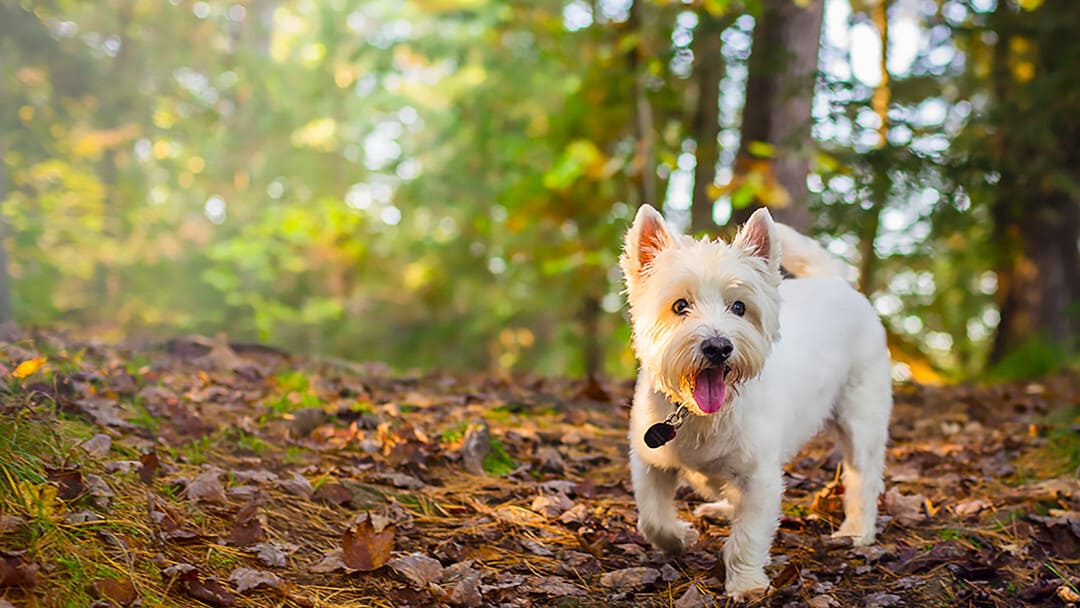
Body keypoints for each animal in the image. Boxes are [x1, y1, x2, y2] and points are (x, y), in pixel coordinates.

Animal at [622, 204, 889, 600]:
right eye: (680, 305)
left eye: (739, 307)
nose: (718, 347)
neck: (702, 415)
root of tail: (838, 284)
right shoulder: (651, 461)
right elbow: (653, 518)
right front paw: (680, 539)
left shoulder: (759, 477)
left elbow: (748, 536)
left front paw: (746, 584)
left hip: (862, 419)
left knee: (864, 477)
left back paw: (857, 530)